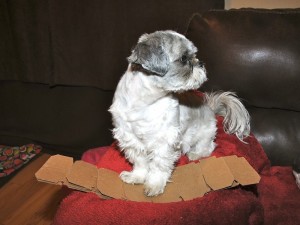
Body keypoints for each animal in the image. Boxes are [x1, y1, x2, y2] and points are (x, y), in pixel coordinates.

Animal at [109, 30, 250, 196]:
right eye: (184, 58)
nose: (201, 63)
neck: (144, 103)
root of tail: (209, 108)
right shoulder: (129, 137)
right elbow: (140, 160)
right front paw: (137, 176)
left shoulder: (164, 140)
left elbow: (159, 165)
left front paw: (155, 184)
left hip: (203, 135)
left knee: (208, 147)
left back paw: (195, 154)